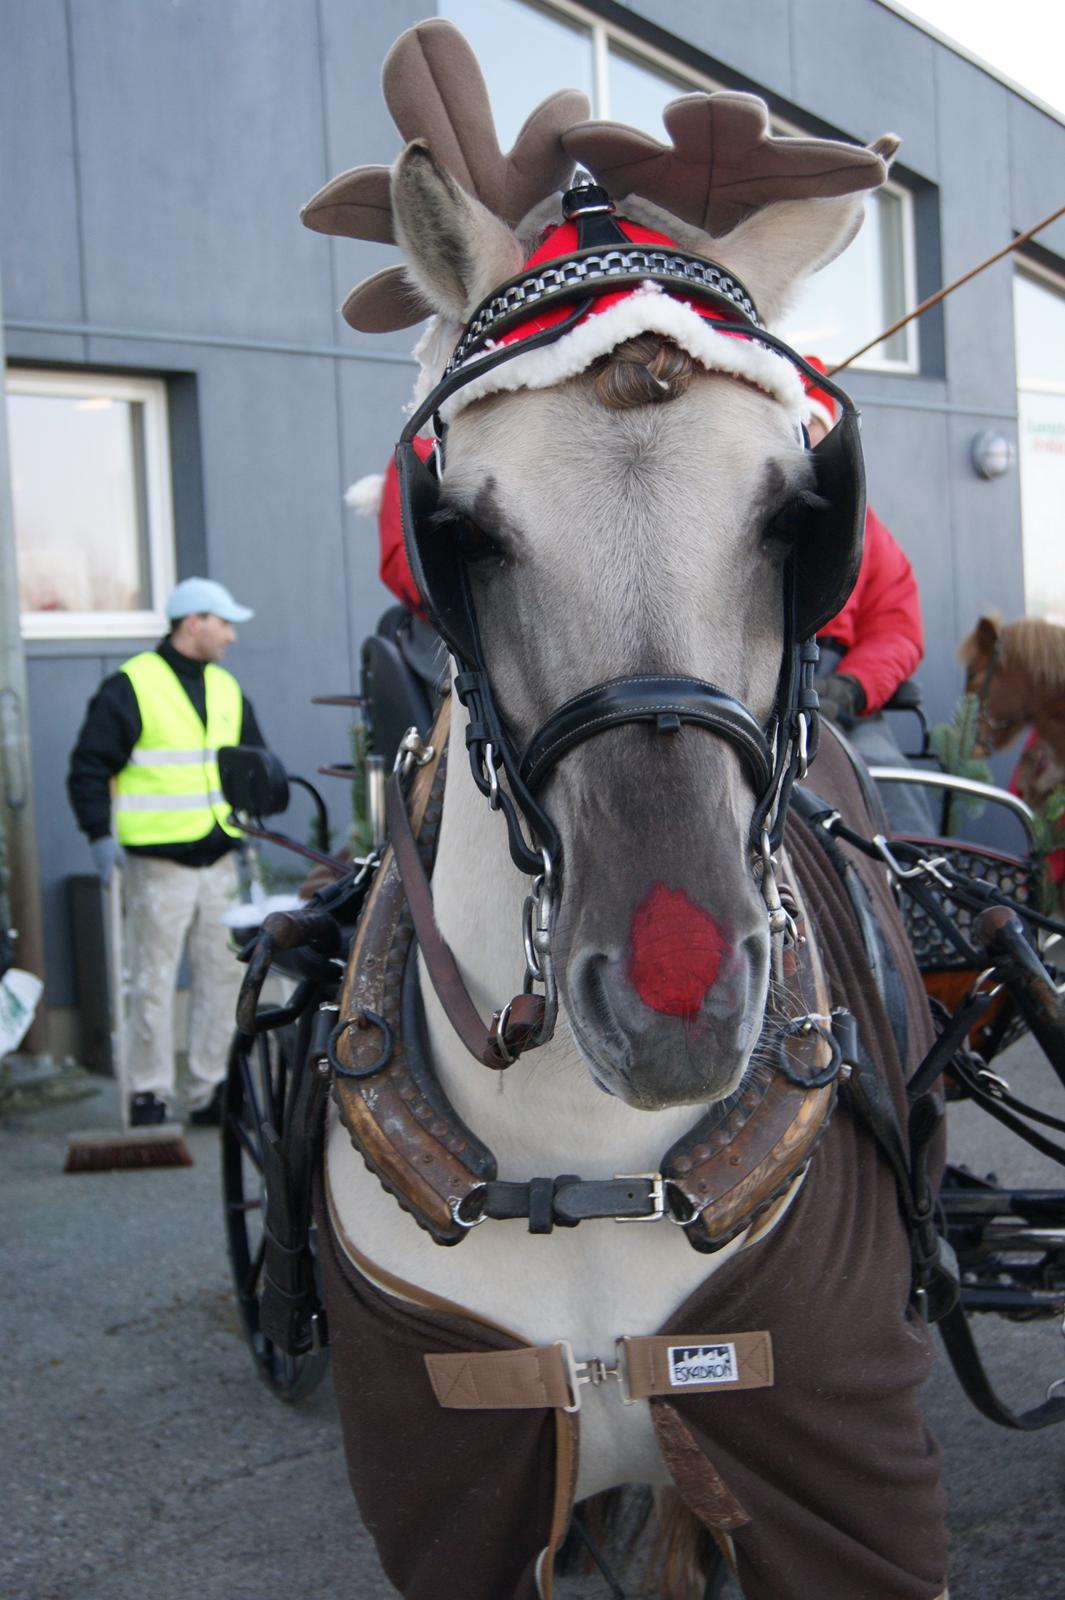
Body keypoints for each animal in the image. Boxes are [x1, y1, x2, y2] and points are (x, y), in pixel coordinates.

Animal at [305, 28, 946, 1600]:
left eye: (798, 519)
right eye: (459, 532)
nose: (674, 999)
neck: (581, 1175)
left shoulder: (838, 1468)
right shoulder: (452, 1495)